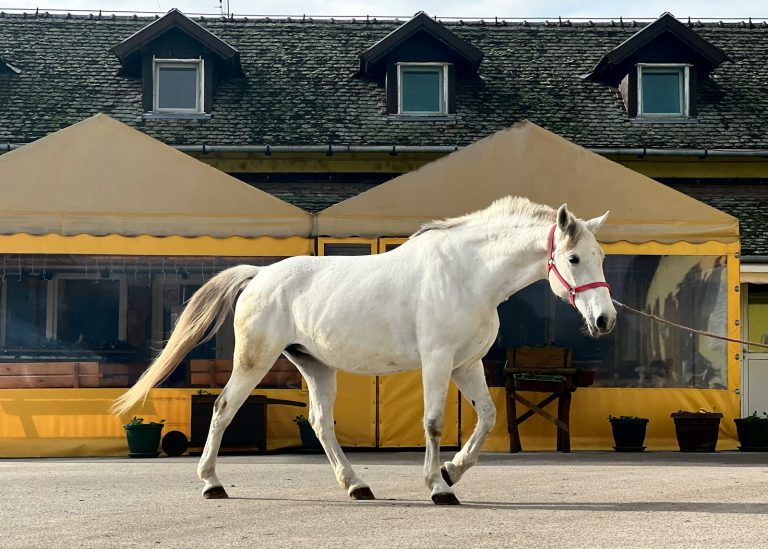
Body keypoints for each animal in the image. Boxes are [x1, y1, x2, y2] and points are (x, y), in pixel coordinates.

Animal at [112, 196, 616, 505]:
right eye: (574, 258)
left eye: (602, 258)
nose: (605, 320)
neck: (469, 273)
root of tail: (259, 275)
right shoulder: (437, 362)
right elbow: (434, 423)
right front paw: (438, 487)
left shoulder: (466, 365)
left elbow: (488, 419)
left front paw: (452, 471)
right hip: (254, 361)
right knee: (222, 408)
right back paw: (212, 483)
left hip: (316, 366)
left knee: (320, 422)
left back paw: (356, 485)